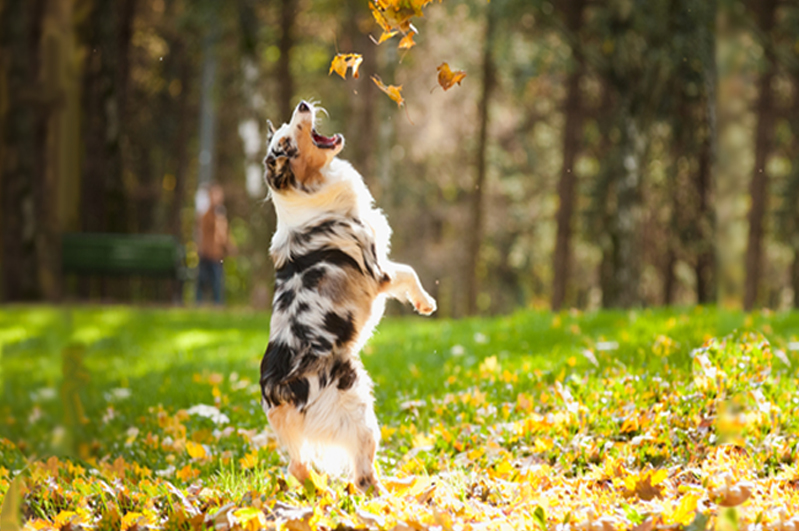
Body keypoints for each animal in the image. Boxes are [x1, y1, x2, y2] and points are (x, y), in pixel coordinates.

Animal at [260, 102, 438, 492]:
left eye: (287, 127)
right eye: (286, 141)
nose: (303, 105)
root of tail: (277, 391)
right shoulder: (376, 270)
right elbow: (408, 271)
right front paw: (425, 303)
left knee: (298, 467)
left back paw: (324, 491)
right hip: (358, 408)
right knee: (363, 475)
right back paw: (395, 494)